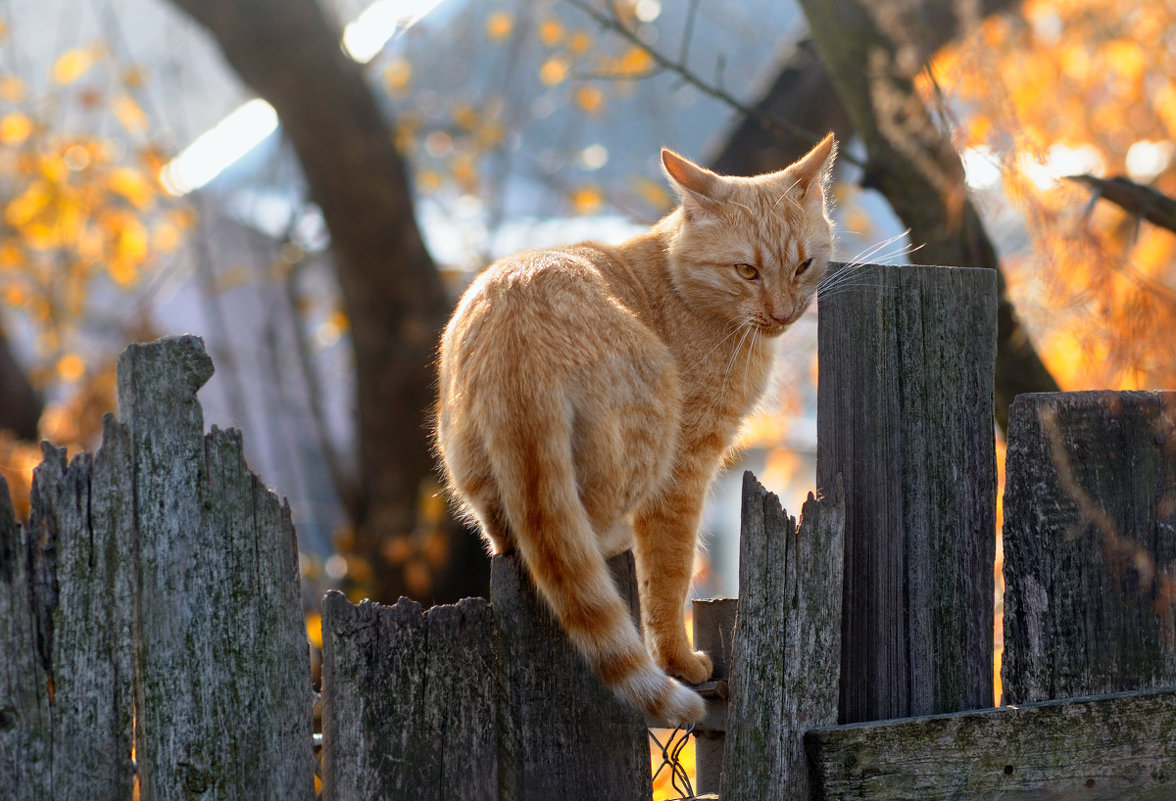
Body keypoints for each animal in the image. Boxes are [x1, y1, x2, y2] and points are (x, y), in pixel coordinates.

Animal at [435, 132, 837, 724]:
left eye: (804, 265)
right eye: (747, 271)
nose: (786, 313)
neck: (682, 287)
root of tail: (520, 322)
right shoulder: (685, 469)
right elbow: (668, 574)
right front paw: (679, 659)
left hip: (469, 459)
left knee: (510, 536)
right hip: (648, 439)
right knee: (590, 534)